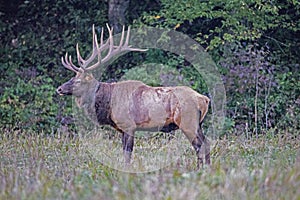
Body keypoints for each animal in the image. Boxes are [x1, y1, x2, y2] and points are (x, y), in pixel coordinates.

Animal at [56, 23, 211, 167]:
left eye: (78, 81)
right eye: (73, 77)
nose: (59, 89)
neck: (108, 103)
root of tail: (204, 99)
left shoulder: (128, 125)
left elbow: (127, 153)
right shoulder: (122, 129)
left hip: (188, 122)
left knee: (198, 146)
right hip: (198, 123)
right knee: (206, 143)